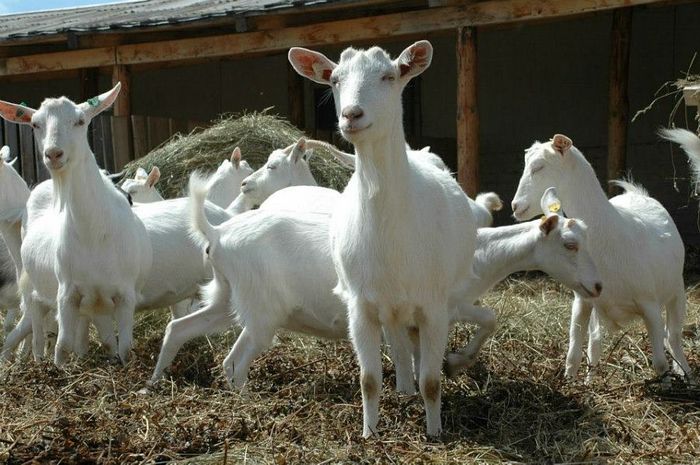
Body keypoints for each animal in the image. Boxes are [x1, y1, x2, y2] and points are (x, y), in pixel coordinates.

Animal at [0, 85, 152, 364]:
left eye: (81, 121)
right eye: (35, 124)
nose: (53, 154)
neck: (94, 232)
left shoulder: (124, 295)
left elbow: (124, 347)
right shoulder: (67, 294)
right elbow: (62, 346)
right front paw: (58, 367)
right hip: (32, 286)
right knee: (36, 331)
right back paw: (35, 359)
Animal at [288, 40, 476, 436]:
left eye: (390, 76)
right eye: (334, 79)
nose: (351, 115)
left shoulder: (433, 304)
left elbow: (432, 380)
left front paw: (435, 433)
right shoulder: (360, 305)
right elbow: (369, 379)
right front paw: (368, 432)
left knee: (416, 349)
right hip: (388, 304)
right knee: (400, 344)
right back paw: (404, 388)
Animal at [508, 133, 688, 380]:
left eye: (538, 167)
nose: (515, 206)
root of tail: (638, 195)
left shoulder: (650, 304)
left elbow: (660, 362)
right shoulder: (582, 301)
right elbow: (573, 356)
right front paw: (572, 382)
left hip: (676, 291)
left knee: (674, 337)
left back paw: (685, 372)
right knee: (595, 343)